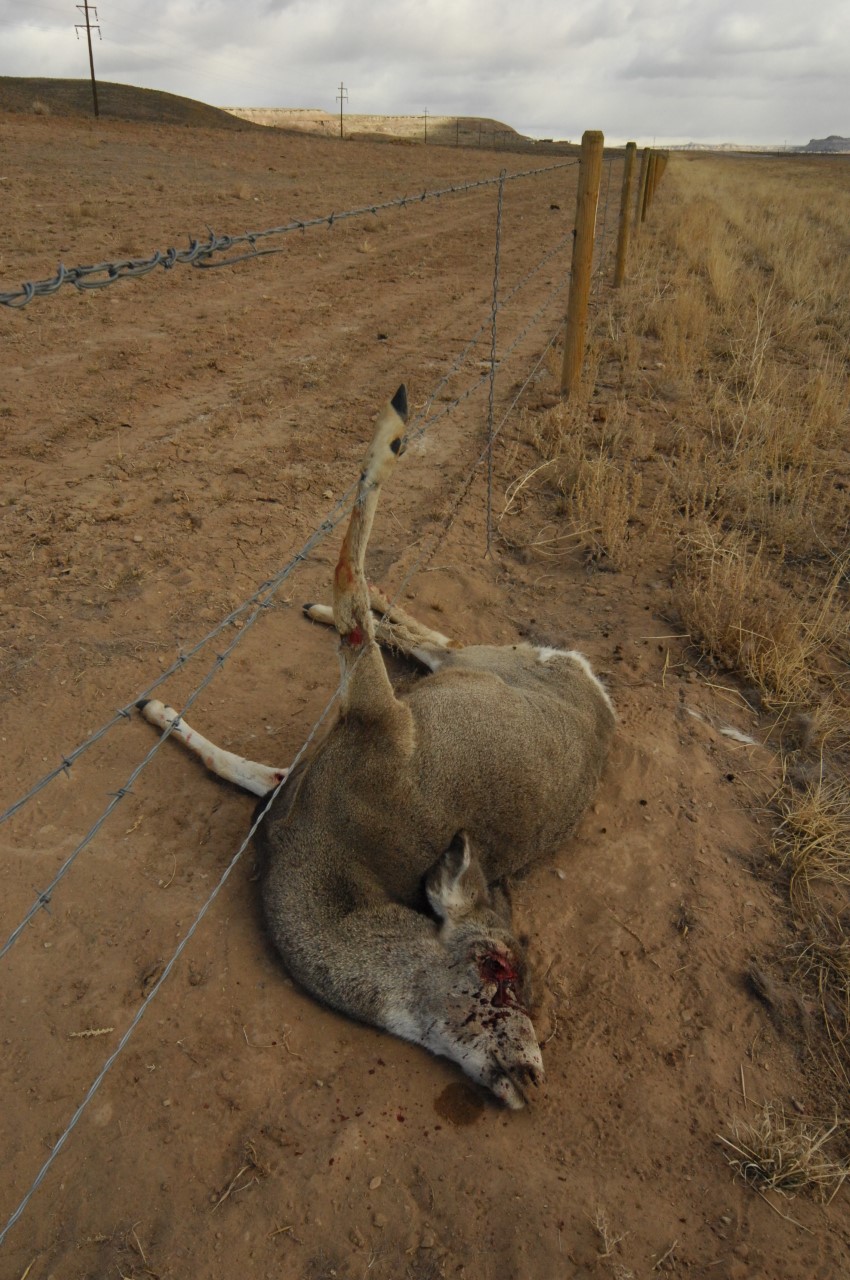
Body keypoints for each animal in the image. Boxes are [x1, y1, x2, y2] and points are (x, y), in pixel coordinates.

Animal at [142, 384, 614, 1105]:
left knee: (423, 635)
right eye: (497, 966)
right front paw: (158, 708)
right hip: (476, 665)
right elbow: (342, 602)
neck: (317, 856)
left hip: (473, 667)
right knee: (427, 635)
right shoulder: (344, 748)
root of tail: (594, 686)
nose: (529, 1069)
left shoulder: (370, 728)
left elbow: (348, 602)